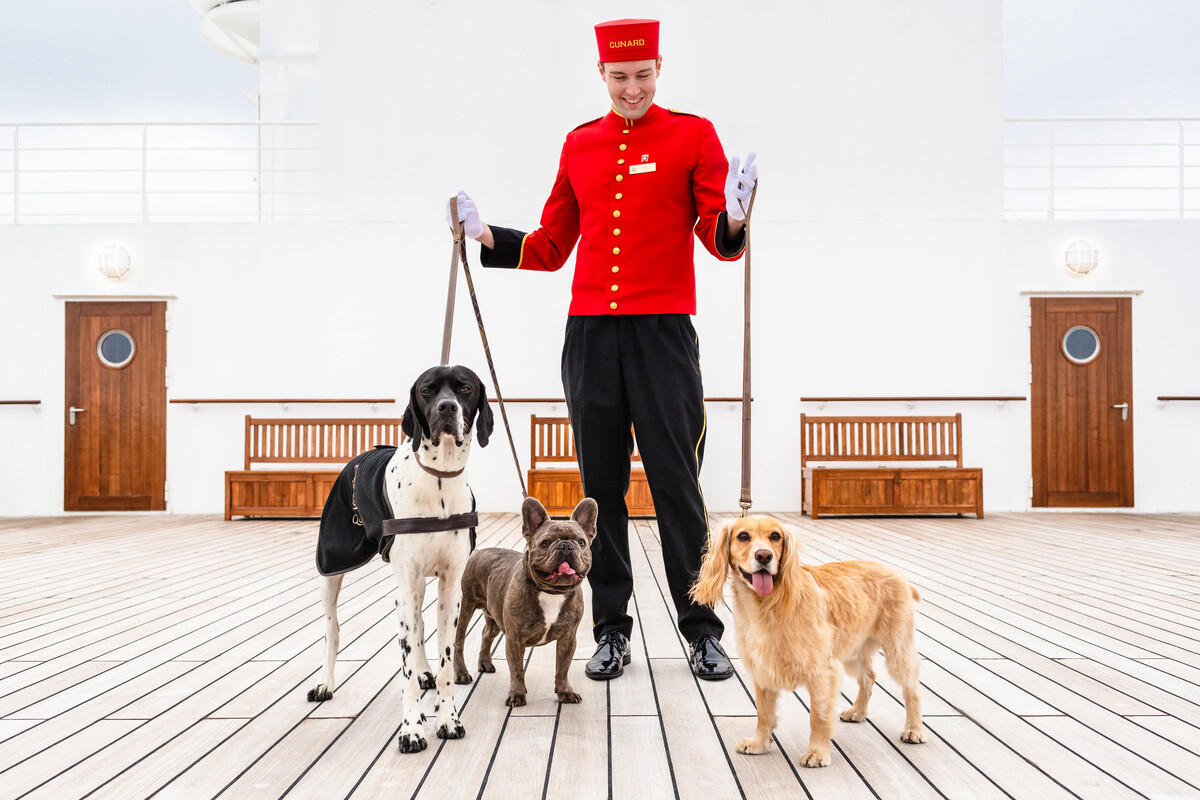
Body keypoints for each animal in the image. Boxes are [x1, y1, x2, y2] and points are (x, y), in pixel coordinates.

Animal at [314, 367, 496, 753]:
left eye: (465, 388)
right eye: (427, 390)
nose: (446, 407)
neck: (439, 479)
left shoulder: (449, 588)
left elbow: (445, 662)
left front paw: (447, 719)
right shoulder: (405, 588)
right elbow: (406, 672)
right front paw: (411, 728)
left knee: (421, 626)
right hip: (333, 565)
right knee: (332, 629)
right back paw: (325, 683)